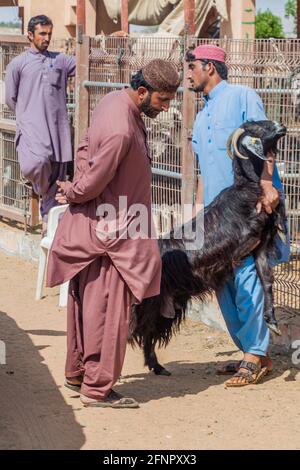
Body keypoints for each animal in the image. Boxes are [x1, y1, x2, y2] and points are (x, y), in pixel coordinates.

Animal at [129, 120, 288, 374]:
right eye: (257, 127)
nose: (282, 126)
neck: (247, 187)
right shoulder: (241, 243)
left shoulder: (260, 248)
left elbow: (267, 283)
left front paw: (272, 322)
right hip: (147, 304)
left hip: (166, 306)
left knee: (148, 332)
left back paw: (158, 367)